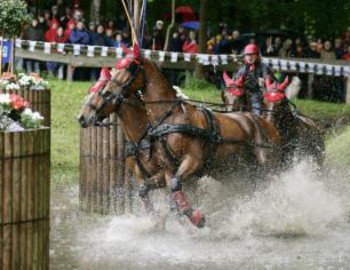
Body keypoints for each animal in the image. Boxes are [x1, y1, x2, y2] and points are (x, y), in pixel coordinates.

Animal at [77, 48, 282, 228]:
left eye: (129, 68)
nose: (82, 117)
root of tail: (268, 125)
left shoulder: (192, 161)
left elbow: (174, 188)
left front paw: (196, 219)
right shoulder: (167, 168)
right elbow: (156, 193)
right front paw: (159, 220)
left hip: (266, 166)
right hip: (232, 171)